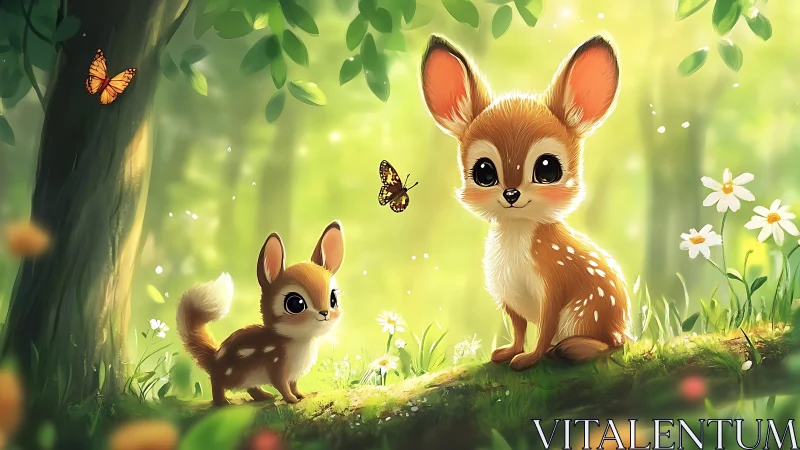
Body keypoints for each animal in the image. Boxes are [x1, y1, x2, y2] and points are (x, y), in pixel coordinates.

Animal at [176, 221, 345, 405]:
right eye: (295, 303)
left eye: (333, 299)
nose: (325, 313)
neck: (300, 340)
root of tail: (214, 358)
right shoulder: (276, 366)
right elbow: (282, 385)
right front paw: (291, 399)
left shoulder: (293, 375)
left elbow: (293, 384)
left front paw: (301, 395)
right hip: (234, 375)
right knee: (216, 382)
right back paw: (222, 402)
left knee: (251, 388)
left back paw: (265, 396)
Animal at [419, 34, 634, 371]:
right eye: (484, 172)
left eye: (547, 169)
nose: (511, 194)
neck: (517, 232)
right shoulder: (508, 296)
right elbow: (518, 327)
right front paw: (508, 353)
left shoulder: (555, 285)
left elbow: (544, 328)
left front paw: (530, 359)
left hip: (585, 315)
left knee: (613, 344)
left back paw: (572, 348)